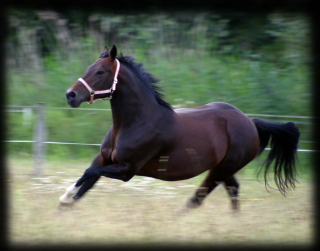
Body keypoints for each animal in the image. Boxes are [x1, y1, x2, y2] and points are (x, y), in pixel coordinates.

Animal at [60, 45, 300, 210]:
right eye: (88, 68)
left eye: (100, 72)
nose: (70, 95)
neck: (135, 122)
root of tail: (250, 122)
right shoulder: (103, 160)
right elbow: (85, 184)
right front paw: (65, 205)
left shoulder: (126, 169)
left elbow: (87, 175)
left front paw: (64, 196)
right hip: (224, 170)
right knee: (232, 190)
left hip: (220, 170)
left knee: (198, 198)